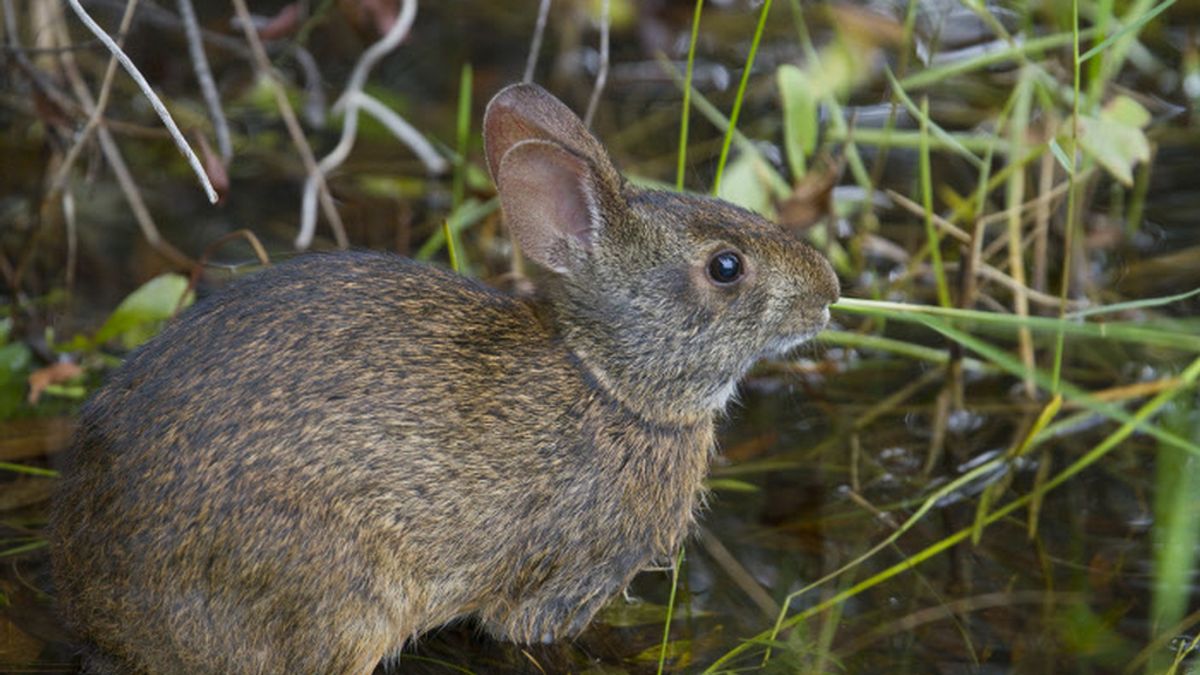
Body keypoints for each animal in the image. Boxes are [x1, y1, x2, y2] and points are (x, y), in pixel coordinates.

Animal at [51, 81, 840, 667]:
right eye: (726, 267)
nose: (829, 290)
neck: (610, 379)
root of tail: (101, 616)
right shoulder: (560, 582)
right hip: (334, 595)